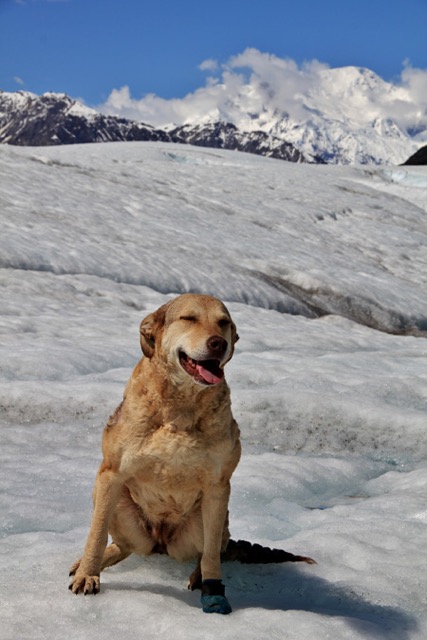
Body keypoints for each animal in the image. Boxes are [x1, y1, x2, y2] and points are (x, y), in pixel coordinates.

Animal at [68, 292, 312, 612]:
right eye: (188, 318)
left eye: (223, 323)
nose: (218, 343)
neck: (180, 406)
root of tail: (160, 544)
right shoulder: (111, 474)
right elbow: (96, 534)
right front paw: (87, 574)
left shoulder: (218, 487)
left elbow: (210, 553)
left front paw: (213, 589)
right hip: (113, 499)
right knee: (123, 543)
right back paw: (90, 562)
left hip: (206, 517)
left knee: (213, 547)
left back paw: (200, 576)